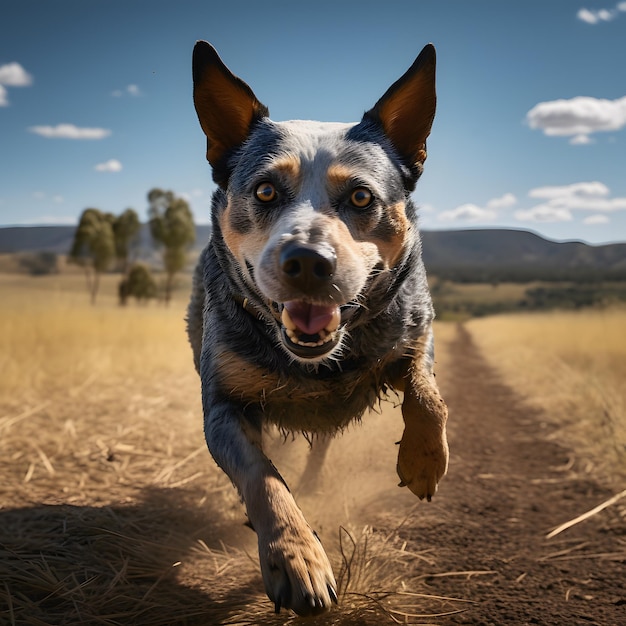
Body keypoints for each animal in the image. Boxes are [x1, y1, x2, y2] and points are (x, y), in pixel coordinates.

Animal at [186, 41, 448, 616]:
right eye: (265, 191)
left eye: (361, 197)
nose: (307, 261)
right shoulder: (223, 404)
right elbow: (262, 478)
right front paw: (297, 558)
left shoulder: (412, 328)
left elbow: (427, 391)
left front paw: (423, 459)